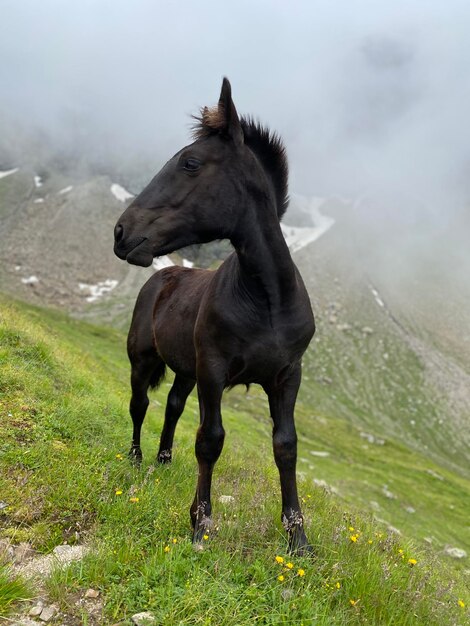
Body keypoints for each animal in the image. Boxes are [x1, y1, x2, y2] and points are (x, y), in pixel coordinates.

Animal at [113, 78, 316, 552]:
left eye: (190, 163)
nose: (121, 232)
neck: (267, 301)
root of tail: (161, 276)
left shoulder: (287, 376)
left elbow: (286, 445)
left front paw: (298, 538)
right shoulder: (214, 370)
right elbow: (210, 440)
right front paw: (200, 524)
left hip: (186, 371)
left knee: (171, 406)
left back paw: (164, 459)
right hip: (144, 361)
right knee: (140, 404)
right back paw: (136, 458)